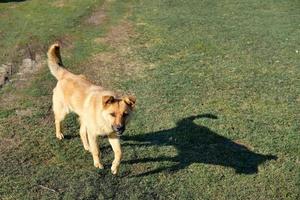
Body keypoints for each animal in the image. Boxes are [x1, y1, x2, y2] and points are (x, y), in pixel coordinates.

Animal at [47, 43, 136, 173]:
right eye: (112, 114)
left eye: (125, 114)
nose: (119, 128)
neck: (102, 117)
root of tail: (67, 74)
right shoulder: (93, 134)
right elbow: (96, 150)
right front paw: (98, 164)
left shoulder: (113, 135)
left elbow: (119, 153)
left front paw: (115, 167)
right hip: (63, 112)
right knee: (57, 121)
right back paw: (59, 134)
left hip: (85, 120)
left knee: (81, 132)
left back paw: (86, 146)